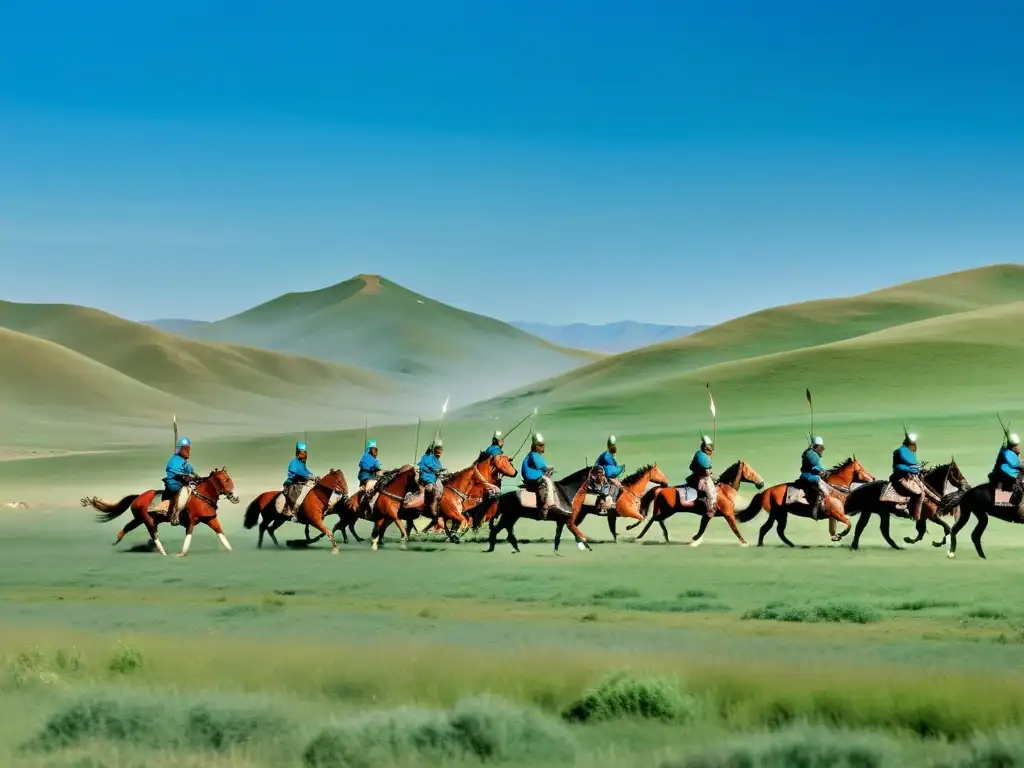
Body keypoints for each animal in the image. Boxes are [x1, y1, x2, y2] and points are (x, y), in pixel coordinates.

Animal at [80, 468, 238, 561]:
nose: (235, 497)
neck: (202, 495)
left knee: (128, 527)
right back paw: (163, 553)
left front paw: (231, 551)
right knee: (154, 535)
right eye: (226, 480)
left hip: (140, 519)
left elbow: (220, 533)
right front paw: (181, 554)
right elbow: (188, 537)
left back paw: (117, 540)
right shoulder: (192, 521)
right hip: (147, 520)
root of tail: (138, 497)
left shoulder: (210, 518)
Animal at [622, 462, 761, 548]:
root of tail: (660, 489)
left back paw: (665, 537)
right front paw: (745, 542)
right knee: (653, 519)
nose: (761, 483)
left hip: (665, 510)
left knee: (656, 520)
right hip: (668, 511)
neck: (724, 490)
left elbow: (703, 526)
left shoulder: (713, 514)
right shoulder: (727, 514)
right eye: (751, 472)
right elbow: (734, 529)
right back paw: (638, 535)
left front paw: (695, 539)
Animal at [741, 456, 876, 548]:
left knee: (769, 529)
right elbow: (848, 524)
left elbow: (834, 527)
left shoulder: (833, 515)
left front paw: (835, 536)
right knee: (773, 529)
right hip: (778, 514)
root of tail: (765, 492)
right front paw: (839, 535)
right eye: (861, 468)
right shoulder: (837, 513)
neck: (834, 487)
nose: (873, 477)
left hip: (777, 515)